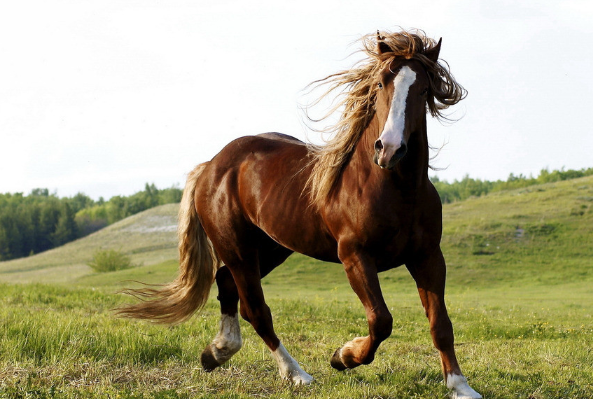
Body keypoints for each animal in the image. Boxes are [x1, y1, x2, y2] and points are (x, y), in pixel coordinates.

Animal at [119, 29, 480, 398]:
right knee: (256, 310)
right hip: (237, 250)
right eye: (380, 84)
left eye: (423, 89)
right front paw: (342, 356)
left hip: (270, 249)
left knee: (227, 286)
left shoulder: (428, 256)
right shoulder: (355, 257)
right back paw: (295, 373)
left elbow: (440, 324)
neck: (395, 189)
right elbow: (381, 321)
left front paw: (460, 385)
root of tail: (212, 165)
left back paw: (217, 352)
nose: (389, 149)